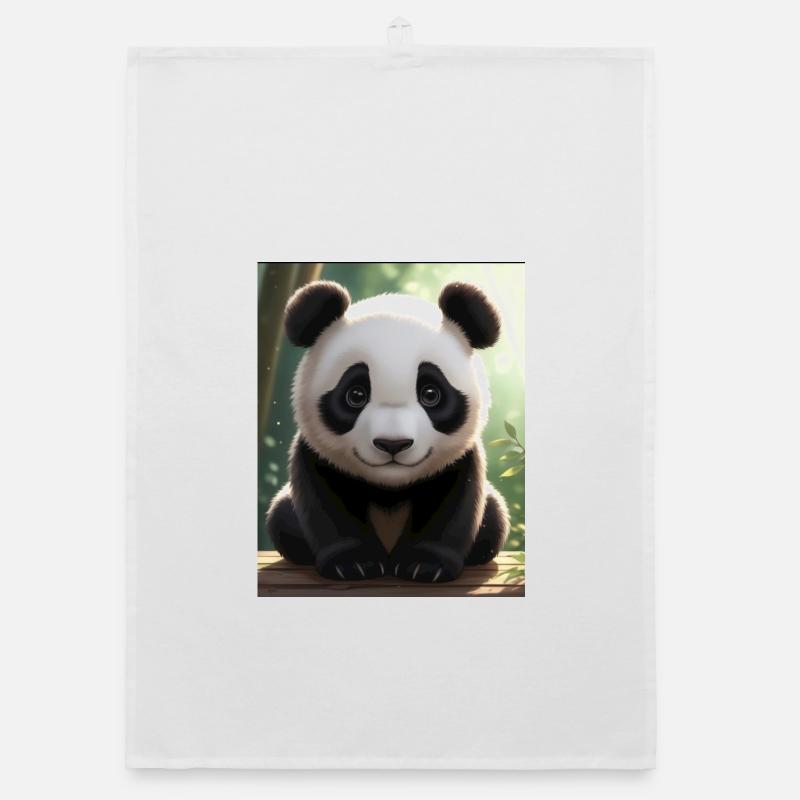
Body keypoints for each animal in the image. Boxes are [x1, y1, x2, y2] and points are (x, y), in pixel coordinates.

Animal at [265, 279, 510, 583]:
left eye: (431, 394)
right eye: (356, 395)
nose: (393, 444)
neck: (390, 485)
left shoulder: (460, 458)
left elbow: (451, 505)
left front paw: (425, 566)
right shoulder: (315, 453)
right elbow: (325, 506)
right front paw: (354, 563)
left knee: (495, 518)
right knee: (281, 518)